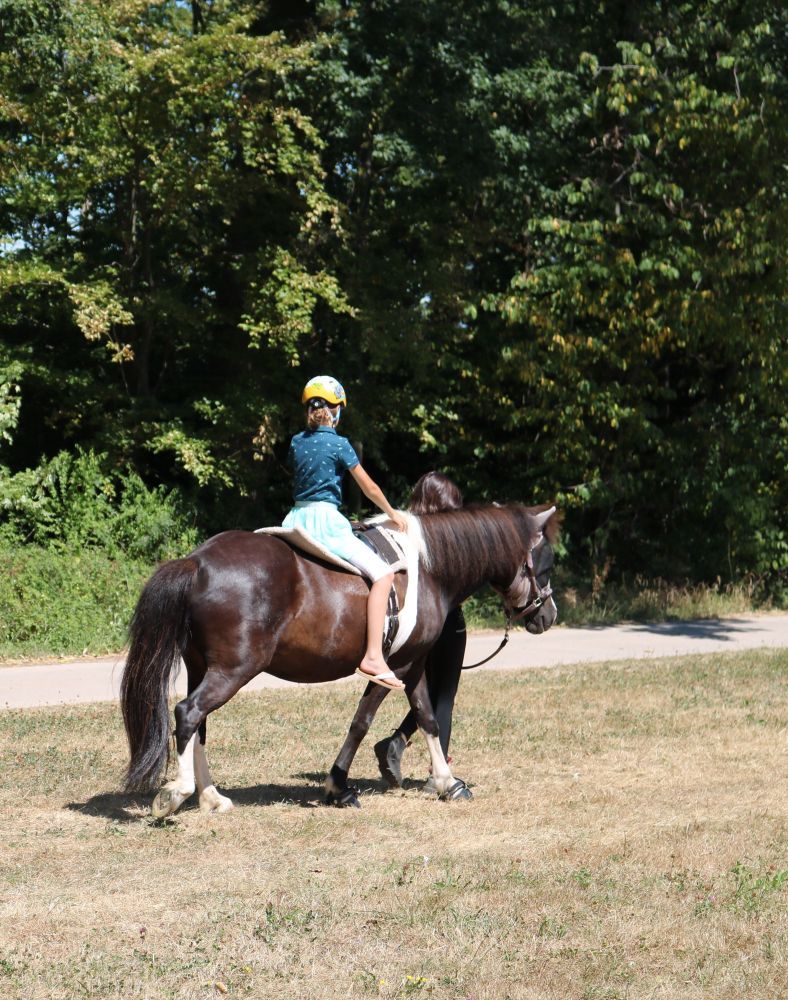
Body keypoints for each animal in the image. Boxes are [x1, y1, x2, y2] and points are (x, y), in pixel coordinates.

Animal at [120, 502, 559, 816]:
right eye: (546, 563)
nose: (549, 615)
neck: (428, 568)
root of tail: (198, 561)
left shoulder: (414, 664)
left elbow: (428, 718)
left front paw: (448, 782)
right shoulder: (393, 668)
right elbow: (361, 722)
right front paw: (338, 787)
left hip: (201, 667)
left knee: (199, 726)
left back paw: (212, 797)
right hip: (232, 671)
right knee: (188, 714)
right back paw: (178, 794)